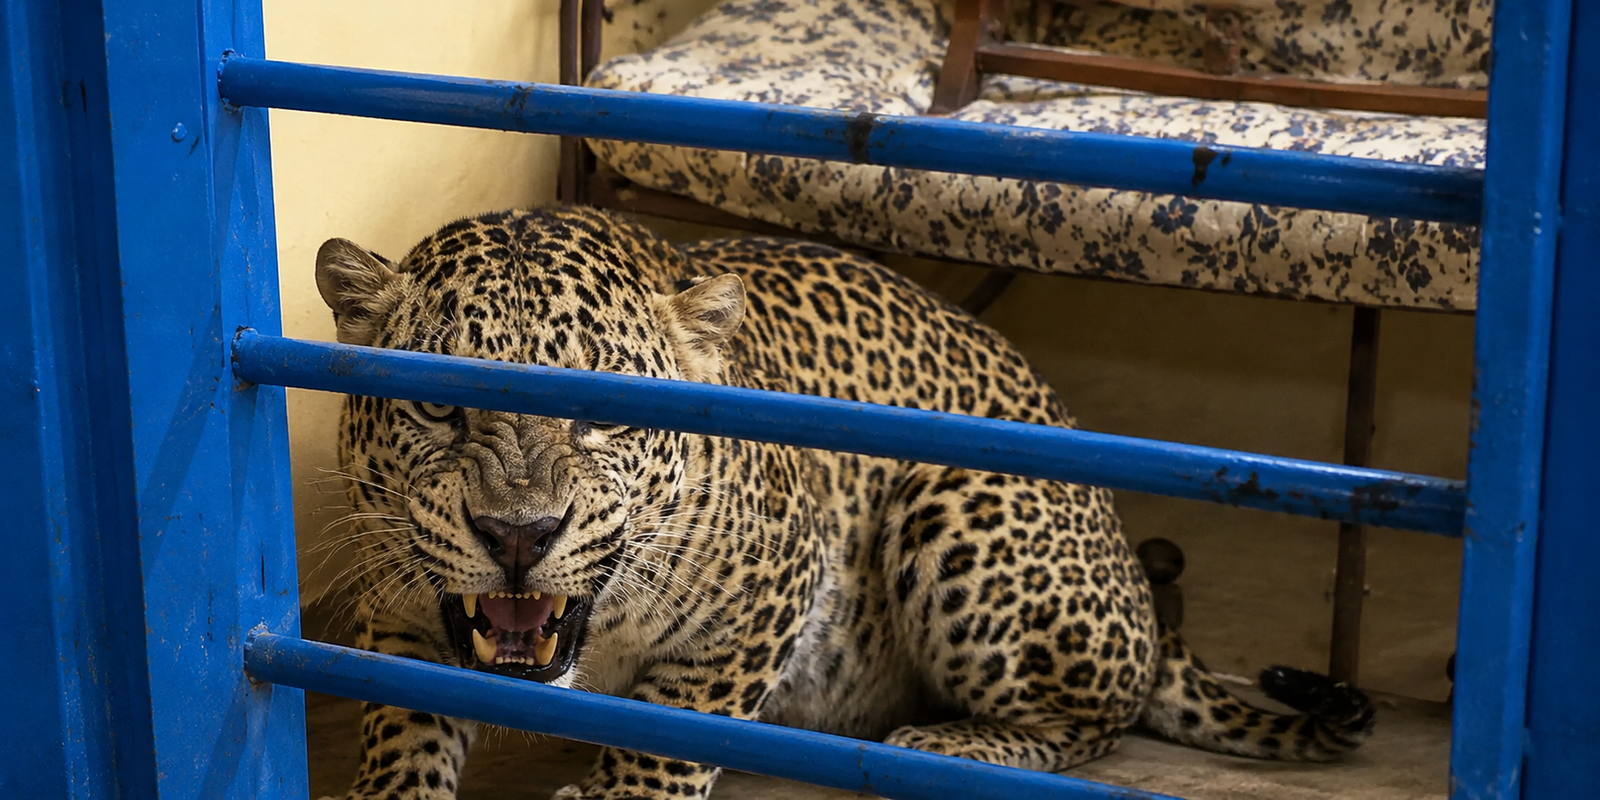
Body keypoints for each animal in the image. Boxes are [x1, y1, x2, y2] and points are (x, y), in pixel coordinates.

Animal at [312, 206, 1374, 800]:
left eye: (602, 413)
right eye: (437, 404)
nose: (518, 537)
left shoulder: (774, 586)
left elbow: (675, 729)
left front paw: (624, 794)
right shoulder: (395, 607)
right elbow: (402, 728)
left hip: (961, 497)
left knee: (1094, 722)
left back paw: (946, 747)